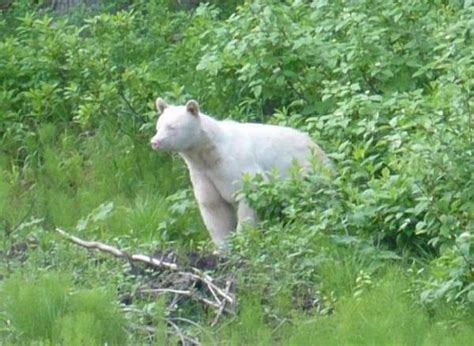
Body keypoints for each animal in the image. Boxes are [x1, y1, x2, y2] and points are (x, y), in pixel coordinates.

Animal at [150, 98, 332, 246]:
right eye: (158, 126)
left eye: (172, 127)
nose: (155, 142)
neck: (210, 153)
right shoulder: (203, 174)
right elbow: (213, 207)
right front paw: (223, 248)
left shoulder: (237, 165)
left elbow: (250, 194)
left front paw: (244, 240)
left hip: (306, 171)